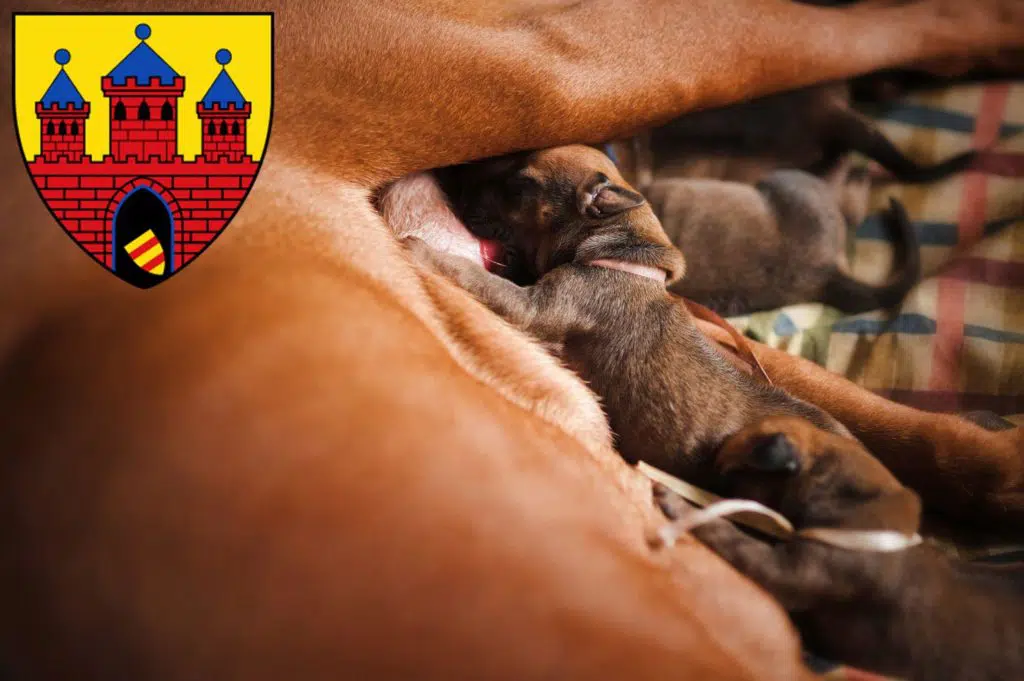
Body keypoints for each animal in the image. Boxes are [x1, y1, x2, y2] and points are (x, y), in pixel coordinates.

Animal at [407, 144, 847, 483]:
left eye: (518, 187)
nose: (453, 178)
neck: (618, 248)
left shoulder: (534, 305)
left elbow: (475, 276)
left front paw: (422, 249)